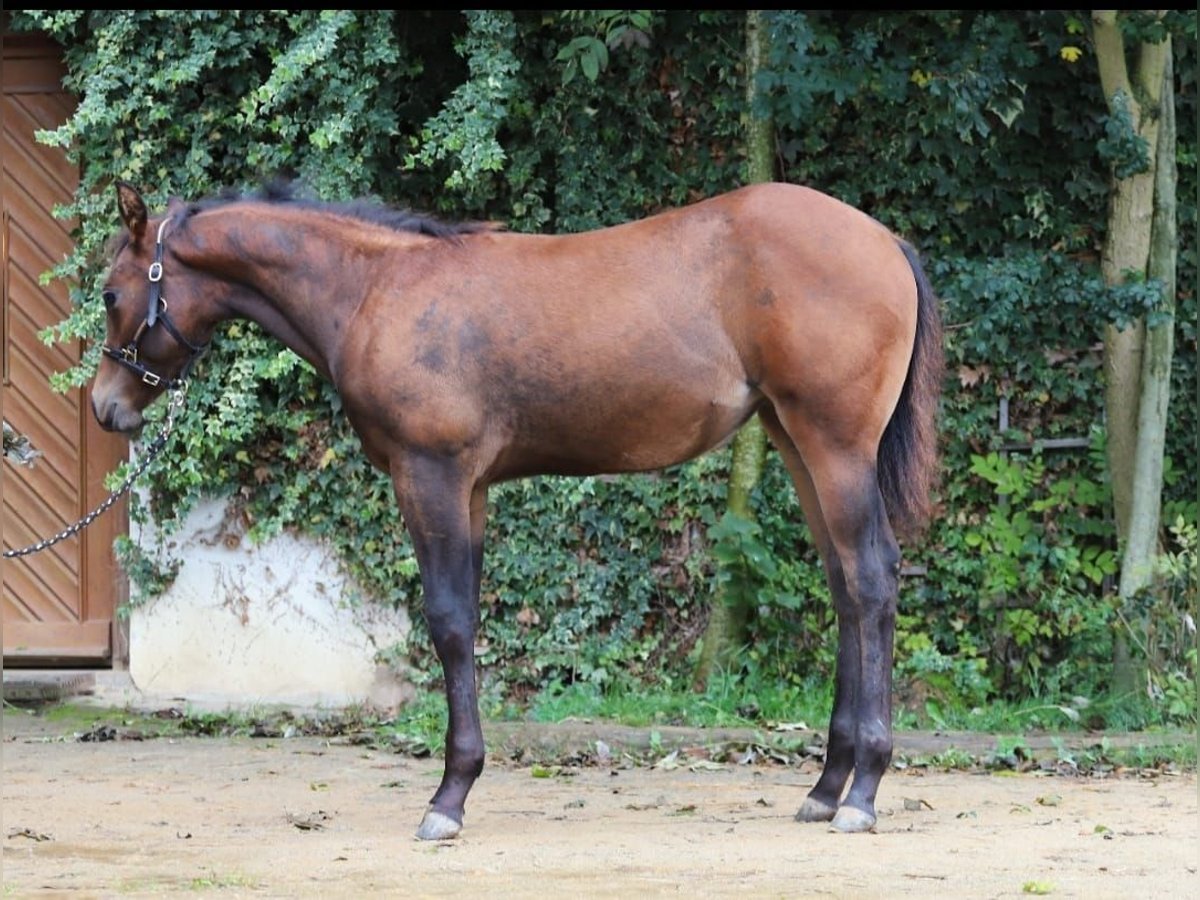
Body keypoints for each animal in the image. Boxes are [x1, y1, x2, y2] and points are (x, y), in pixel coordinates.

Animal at [91, 179, 943, 840]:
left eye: (109, 293)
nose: (106, 407)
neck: (375, 290)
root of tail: (884, 240)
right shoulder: (468, 489)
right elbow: (464, 621)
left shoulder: (429, 475)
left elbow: (447, 622)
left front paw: (448, 798)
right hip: (796, 443)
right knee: (845, 588)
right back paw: (826, 788)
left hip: (833, 443)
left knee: (872, 581)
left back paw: (863, 793)